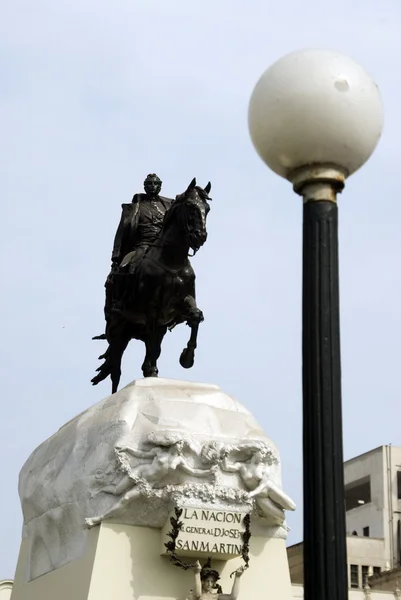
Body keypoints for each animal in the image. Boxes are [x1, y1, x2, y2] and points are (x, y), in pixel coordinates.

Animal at [90, 178, 209, 394]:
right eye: (190, 206)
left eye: (208, 208)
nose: (200, 236)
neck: (172, 262)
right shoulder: (152, 309)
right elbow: (152, 344)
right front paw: (151, 369)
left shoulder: (182, 304)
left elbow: (196, 317)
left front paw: (187, 358)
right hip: (118, 332)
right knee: (115, 369)